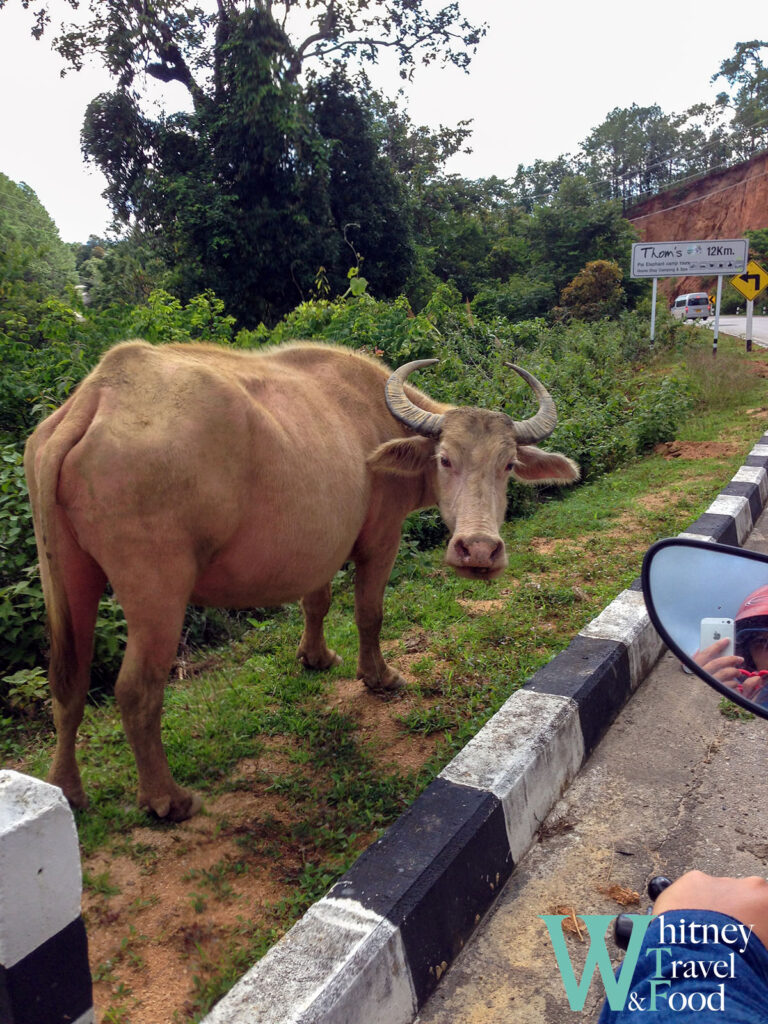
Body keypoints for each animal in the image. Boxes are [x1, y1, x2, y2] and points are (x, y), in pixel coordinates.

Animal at [27, 339, 581, 819]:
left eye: (507, 465)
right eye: (446, 459)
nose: (479, 550)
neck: (377, 422)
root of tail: (97, 396)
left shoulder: (320, 546)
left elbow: (316, 603)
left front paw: (315, 657)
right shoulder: (380, 538)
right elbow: (369, 612)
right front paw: (379, 676)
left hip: (65, 571)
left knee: (67, 678)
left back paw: (67, 789)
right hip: (157, 588)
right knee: (137, 688)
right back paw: (167, 799)